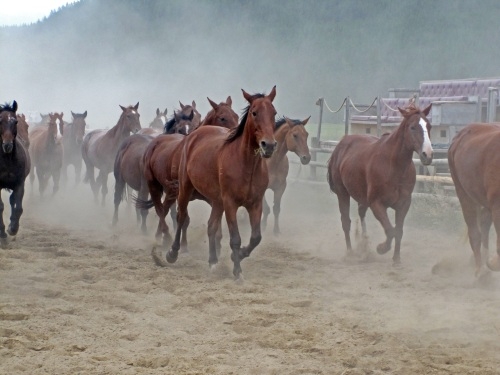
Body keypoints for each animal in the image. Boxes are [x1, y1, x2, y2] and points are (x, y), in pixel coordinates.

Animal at [137, 96, 238, 247]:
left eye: (236, 116)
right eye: (222, 118)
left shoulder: (211, 197)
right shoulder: (180, 193)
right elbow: (182, 218)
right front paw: (182, 246)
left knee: (164, 209)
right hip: (154, 185)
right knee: (161, 210)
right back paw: (165, 237)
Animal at [167, 86, 278, 280]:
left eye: (274, 112)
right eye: (254, 112)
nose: (269, 145)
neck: (246, 164)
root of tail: (193, 136)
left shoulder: (255, 204)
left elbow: (255, 238)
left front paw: (237, 255)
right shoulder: (230, 203)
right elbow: (235, 238)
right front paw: (237, 271)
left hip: (217, 201)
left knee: (211, 225)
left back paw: (212, 261)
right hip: (186, 189)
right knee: (181, 217)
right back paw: (173, 253)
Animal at [326, 104, 432, 266]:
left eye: (429, 126)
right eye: (413, 127)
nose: (428, 154)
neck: (393, 165)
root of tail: (341, 145)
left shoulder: (403, 204)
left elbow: (398, 231)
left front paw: (396, 259)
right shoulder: (377, 204)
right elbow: (390, 230)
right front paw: (382, 248)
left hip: (362, 197)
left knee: (361, 212)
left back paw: (364, 246)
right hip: (342, 193)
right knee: (346, 222)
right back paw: (350, 253)